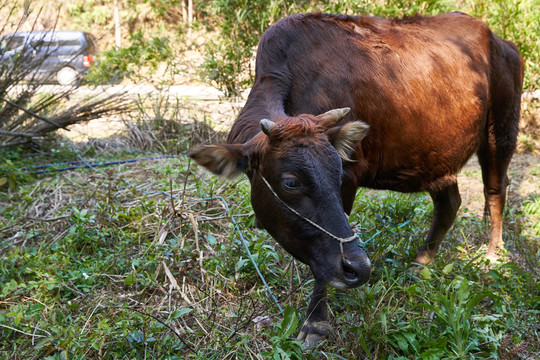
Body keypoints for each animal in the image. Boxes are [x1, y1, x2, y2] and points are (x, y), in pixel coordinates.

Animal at [190, 12, 524, 346]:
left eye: (337, 173)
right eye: (291, 182)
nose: (361, 268)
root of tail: (500, 41)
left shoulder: (352, 178)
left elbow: (326, 265)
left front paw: (316, 322)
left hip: (501, 133)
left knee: (496, 190)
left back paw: (493, 257)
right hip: (437, 160)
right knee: (449, 203)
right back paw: (421, 262)